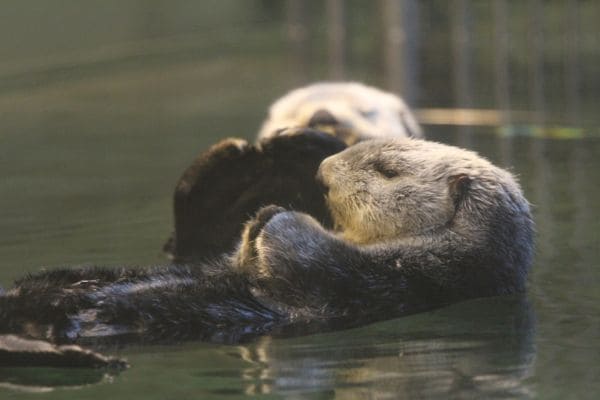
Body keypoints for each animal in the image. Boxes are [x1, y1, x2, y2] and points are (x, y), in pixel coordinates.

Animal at [0, 138, 536, 350]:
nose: (322, 172)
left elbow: (307, 261)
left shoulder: (400, 280)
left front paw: (277, 219)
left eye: (387, 170)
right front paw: (259, 215)